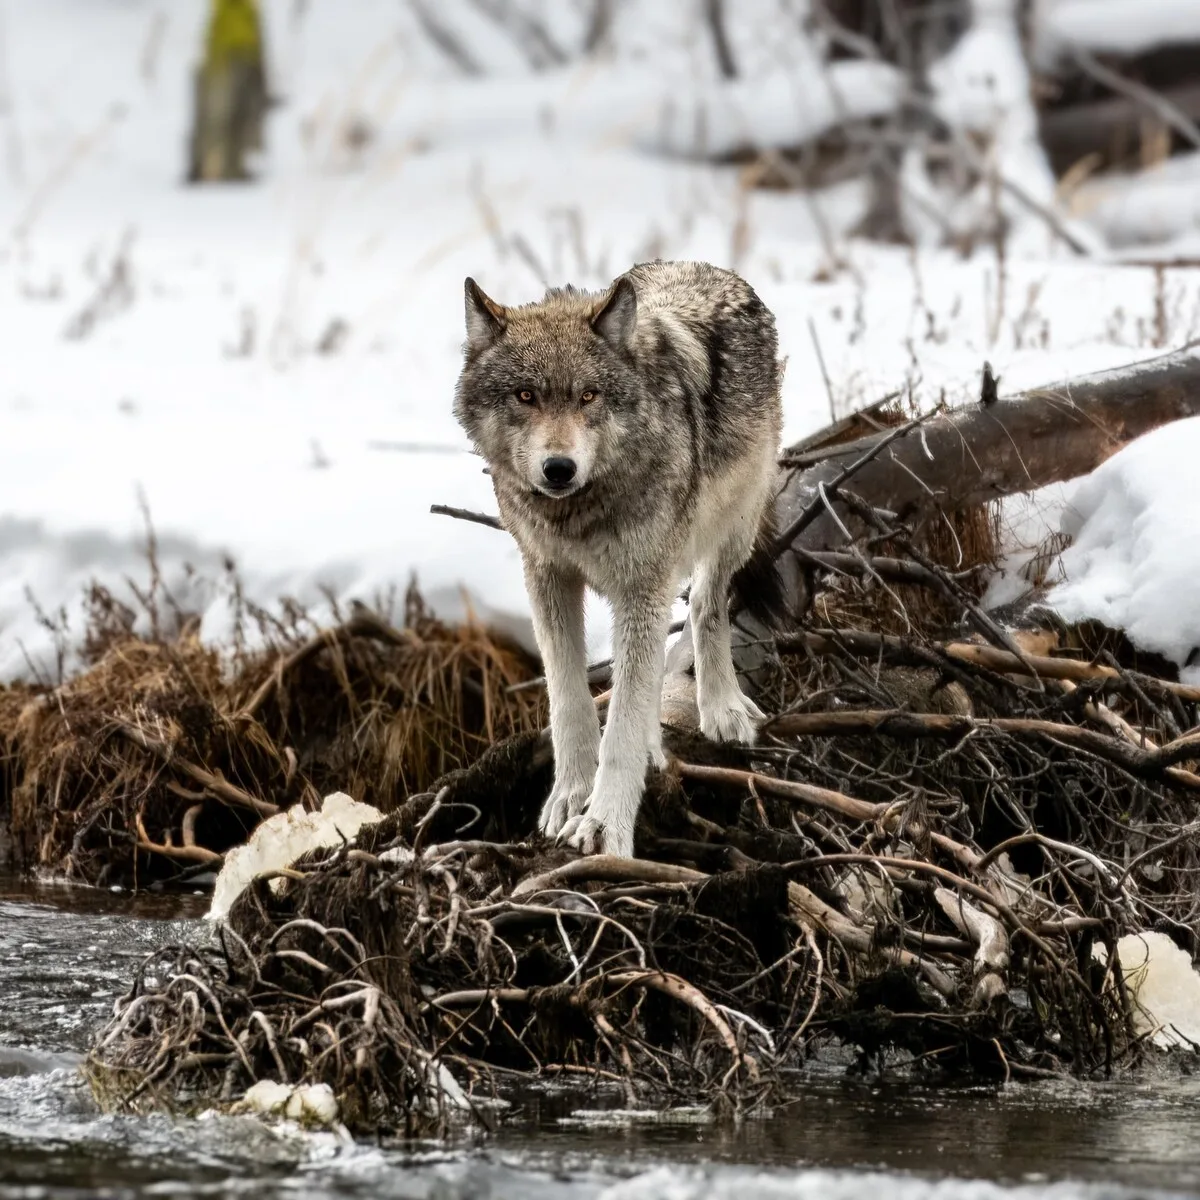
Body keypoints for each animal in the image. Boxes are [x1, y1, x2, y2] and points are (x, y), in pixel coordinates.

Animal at [453, 260, 784, 859]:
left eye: (589, 395)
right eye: (525, 395)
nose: (558, 468)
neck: (579, 511)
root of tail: (703, 266)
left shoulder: (642, 586)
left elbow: (623, 724)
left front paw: (605, 825)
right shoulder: (547, 576)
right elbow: (570, 701)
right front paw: (571, 796)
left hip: (732, 531)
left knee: (705, 606)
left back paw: (722, 708)